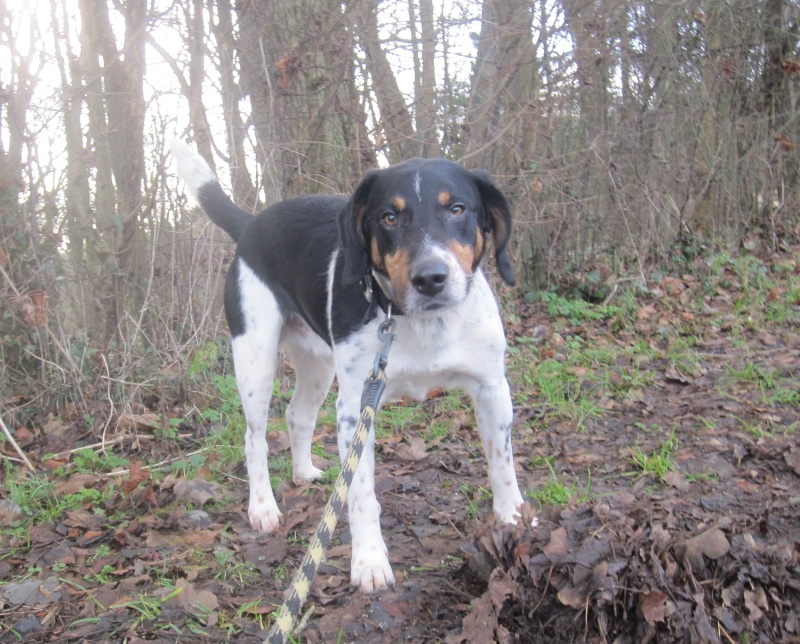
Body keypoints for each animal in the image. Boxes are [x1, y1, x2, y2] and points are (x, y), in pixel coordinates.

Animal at [172, 142, 524, 592]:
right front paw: (369, 562)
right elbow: (359, 496)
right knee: (254, 439)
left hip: (318, 364)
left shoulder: (492, 387)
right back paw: (263, 507)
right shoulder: (356, 408)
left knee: (298, 415)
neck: (421, 325)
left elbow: (502, 466)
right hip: (255, 361)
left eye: (457, 208)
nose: (430, 278)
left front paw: (513, 521)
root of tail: (251, 224)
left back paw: (304, 472)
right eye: (389, 217)